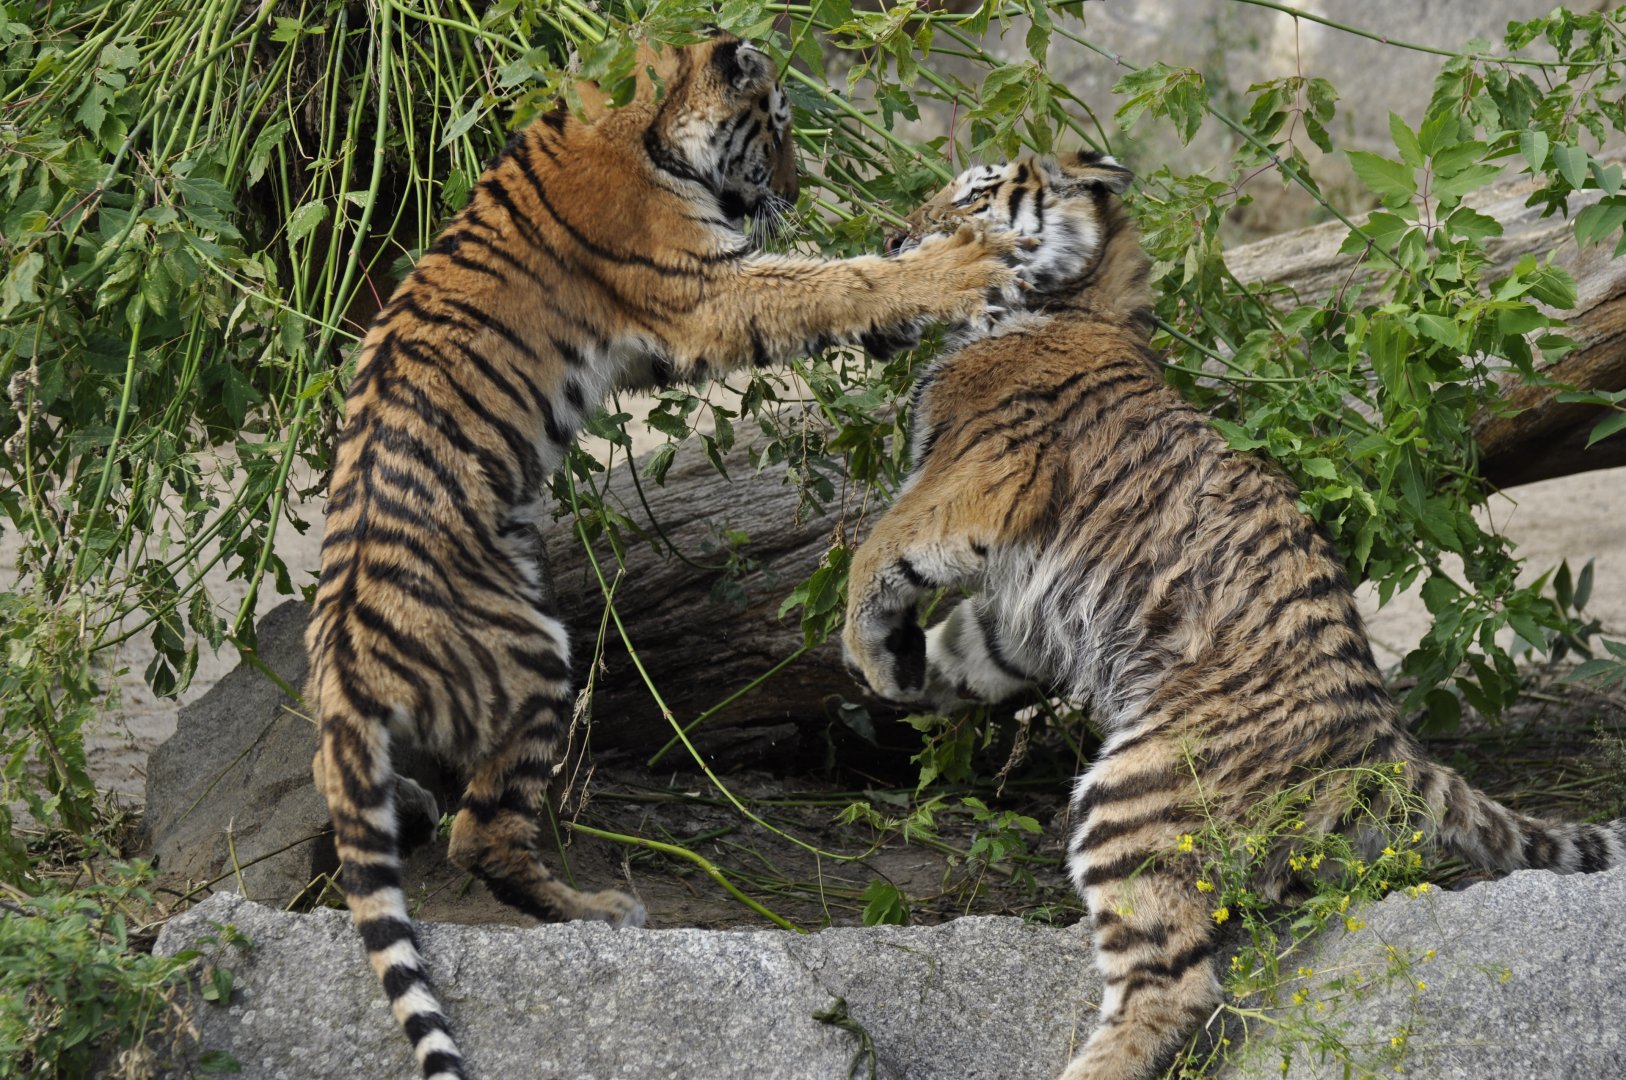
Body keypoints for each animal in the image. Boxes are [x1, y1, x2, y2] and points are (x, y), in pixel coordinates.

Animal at [303, 33, 1024, 1080]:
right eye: (779, 130)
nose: (793, 189)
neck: (636, 117)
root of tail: (347, 668)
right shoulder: (704, 289)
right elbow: (825, 281)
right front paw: (952, 268)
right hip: (532, 657)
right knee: (486, 838)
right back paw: (601, 910)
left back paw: (402, 804)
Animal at [841, 150, 1626, 1080]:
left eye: (972, 196)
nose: (891, 240)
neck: (1073, 301)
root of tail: (1388, 745)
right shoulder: (1019, 613)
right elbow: (968, 644)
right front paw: (903, 671)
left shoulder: (977, 479)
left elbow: (874, 548)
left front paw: (867, 648)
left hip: (1133, 799)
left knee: (1176, 986)